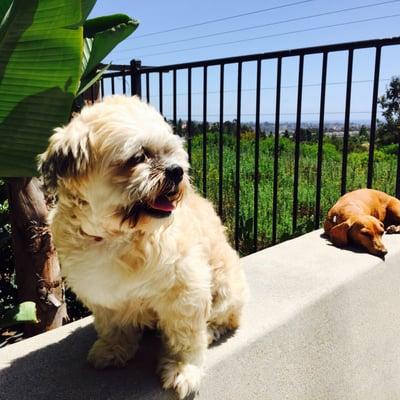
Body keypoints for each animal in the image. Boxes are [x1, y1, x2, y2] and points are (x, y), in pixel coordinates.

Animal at [39, 95, 248, 398]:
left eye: (170, 153)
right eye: (138, 157)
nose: (176, 171)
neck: (118, 236)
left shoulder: (186, 289)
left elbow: (185, 335)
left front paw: (184, 369)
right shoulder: (102, 293)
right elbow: (113, 326)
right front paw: (113, 349)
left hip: (224, 287)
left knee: (221, 319)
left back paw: (210, 331)